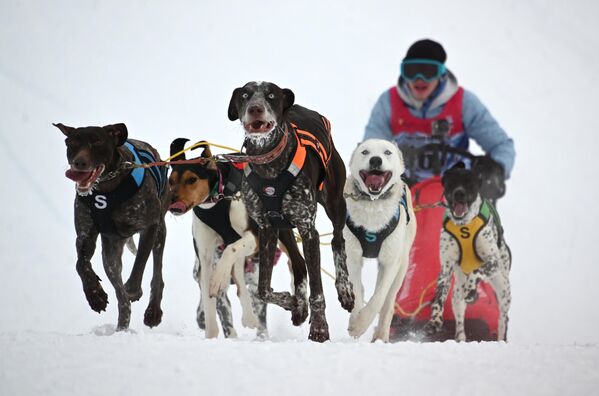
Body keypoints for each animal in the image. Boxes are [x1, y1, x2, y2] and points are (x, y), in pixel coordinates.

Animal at [55, 122, 170, 330]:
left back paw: (152, 310)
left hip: (160, 233)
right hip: (110, 252)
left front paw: (133, 288)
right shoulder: (85, 236)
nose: (79, 163)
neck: (107, 189)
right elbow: (80, 264)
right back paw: (122, 323)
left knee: (157, 273)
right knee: (120, 295)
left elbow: (140, 261)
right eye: (72, 142)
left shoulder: (150, 225)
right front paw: (95, 295)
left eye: (97, 141)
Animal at [166, 138, 304, 338]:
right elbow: (209, 298)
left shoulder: (254, 237)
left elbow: (229, 253)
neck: (217, 200)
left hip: (278, 234)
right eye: (171, 181)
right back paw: (249, 316)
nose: (173, 205)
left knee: (295, 261)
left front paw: (218, 279)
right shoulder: (205, 256)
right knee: (238, 272)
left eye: (192, 179)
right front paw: (211, 334)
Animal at [227, 81, 354, 344]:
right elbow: (263, 290)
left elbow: (318, 292)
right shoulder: (266, 228)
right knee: (298, 263)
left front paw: (319, 329)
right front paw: (293, 301)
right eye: (244, 95)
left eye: (271, 95)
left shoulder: (308, 229)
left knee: (337, 240)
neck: (269, 166)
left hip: (335, 204)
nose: (255, 109)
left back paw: (345, 289)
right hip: (283, 228)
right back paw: (299, 306)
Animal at [346, 138, 418, 340]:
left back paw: (381, 336)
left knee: (387, 302)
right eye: (365, 152)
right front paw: (355, 320)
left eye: (387, 152)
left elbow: (378, 299)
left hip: (401, 267)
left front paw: (360, 325)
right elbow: (357, 290)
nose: (376, 160)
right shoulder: (352, 258)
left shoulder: (390, 263)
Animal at [424, 162, 512, 342]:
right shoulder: (446, 269)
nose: (459, 193)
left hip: (503, 290)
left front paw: (471, 289)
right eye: (451, 182)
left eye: (469, 183)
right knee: (459, 319)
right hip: (456, 296)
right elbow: (439, 297)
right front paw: (435, 320)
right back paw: (460, 338)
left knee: (502, 320)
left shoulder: (492, 261)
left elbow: (476, 271)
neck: (463, 224)